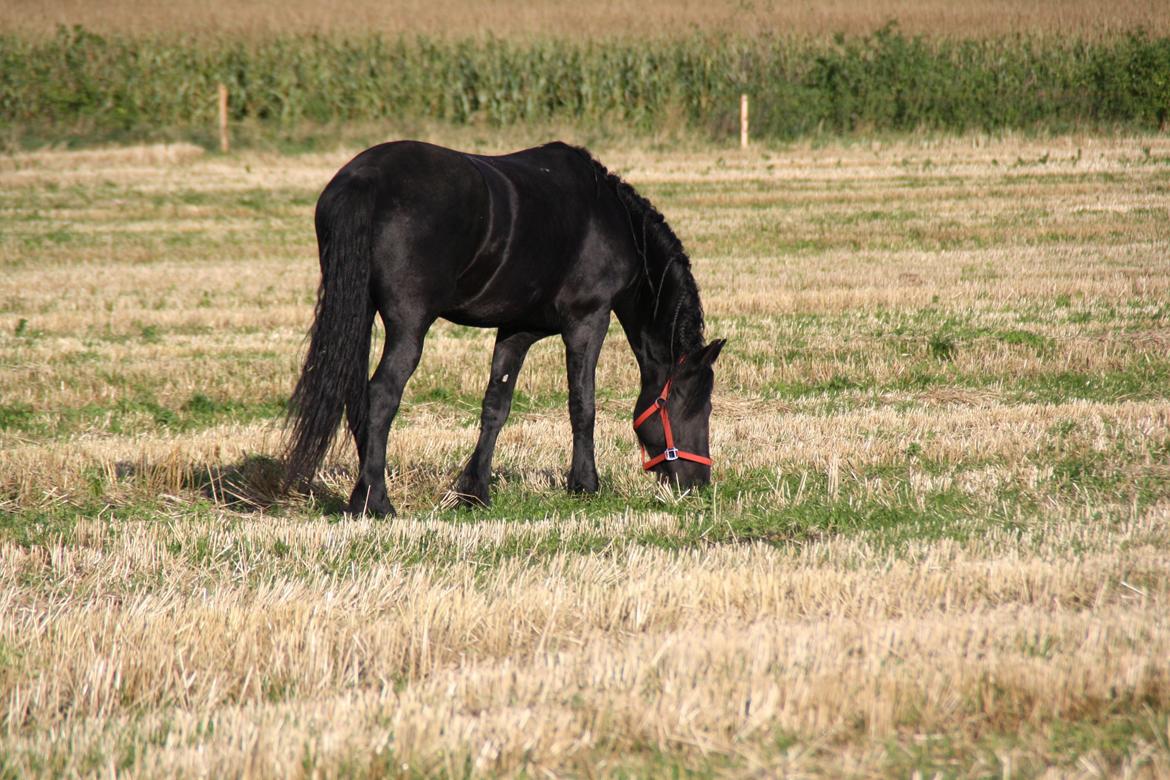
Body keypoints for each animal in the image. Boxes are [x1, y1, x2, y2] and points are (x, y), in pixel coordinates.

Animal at [283, 140, 720, 519]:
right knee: (381, 396)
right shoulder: (588, 320)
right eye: (696, 405)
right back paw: (375, 501)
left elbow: (496, 406)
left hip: (358, 312)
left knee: (357, 396)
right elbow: (583, 404)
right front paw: (584, 484)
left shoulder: (516, 329)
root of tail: (365, 179)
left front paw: (473, 490)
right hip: (408, 325)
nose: (699, 481)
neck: (612, 219)